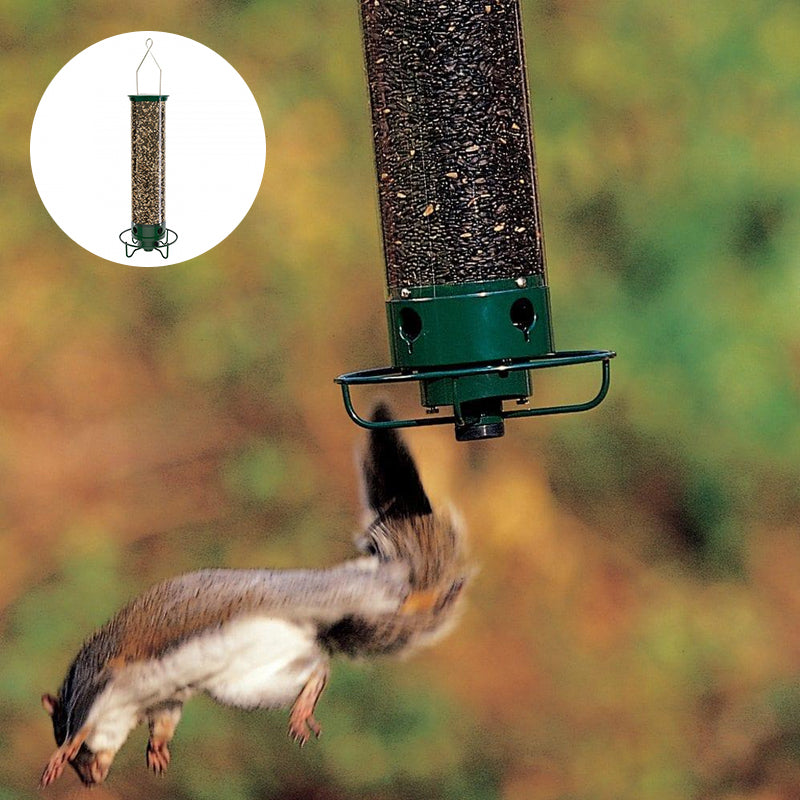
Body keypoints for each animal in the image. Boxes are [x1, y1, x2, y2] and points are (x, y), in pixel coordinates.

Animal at [40, 404, 468, 788]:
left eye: (79, 754)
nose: (90, 781)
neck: (128, 705)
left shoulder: (101, 680)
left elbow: (83, 723)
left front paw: (63, 752)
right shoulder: (164, 701)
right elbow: (163, 723)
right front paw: (157, 750)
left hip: (333, 599)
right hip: (250, 685)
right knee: (317, 666)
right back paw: (304, 703)